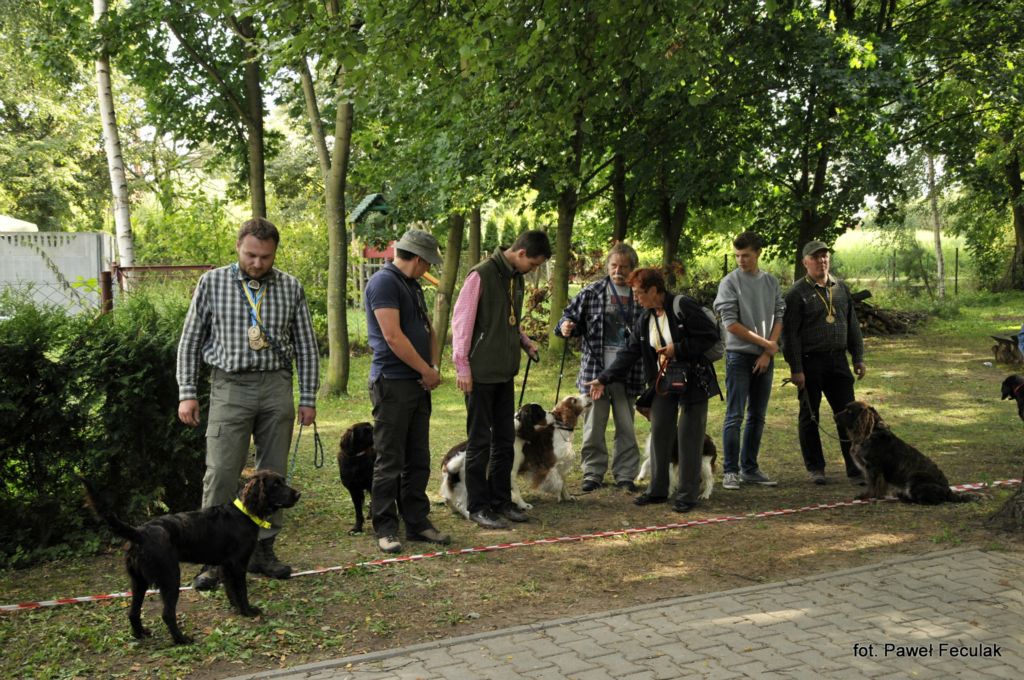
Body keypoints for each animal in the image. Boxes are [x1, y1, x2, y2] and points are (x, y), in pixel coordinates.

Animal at [82, 470, 300, 644]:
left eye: (282, 480)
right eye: (275, 485)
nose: (298, 494)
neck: (244, 513)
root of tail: (139, 533)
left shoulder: (225, 566)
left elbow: (231, 591)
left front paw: (236, 608)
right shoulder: (238, 565)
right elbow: (242, 591)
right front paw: (248, 611)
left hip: (139, 581)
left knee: (133, 612)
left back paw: (140, 634)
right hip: (170, 577)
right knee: (167, 614)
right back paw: (181, 639)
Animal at [835, 401, 974, 505]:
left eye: (849, 411)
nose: (834, 416)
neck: (871, 433)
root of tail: (947, 490)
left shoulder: (873, 467)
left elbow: (873, 485)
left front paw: (867, 496)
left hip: (915, 477)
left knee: (926, 500)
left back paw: (905, 498)